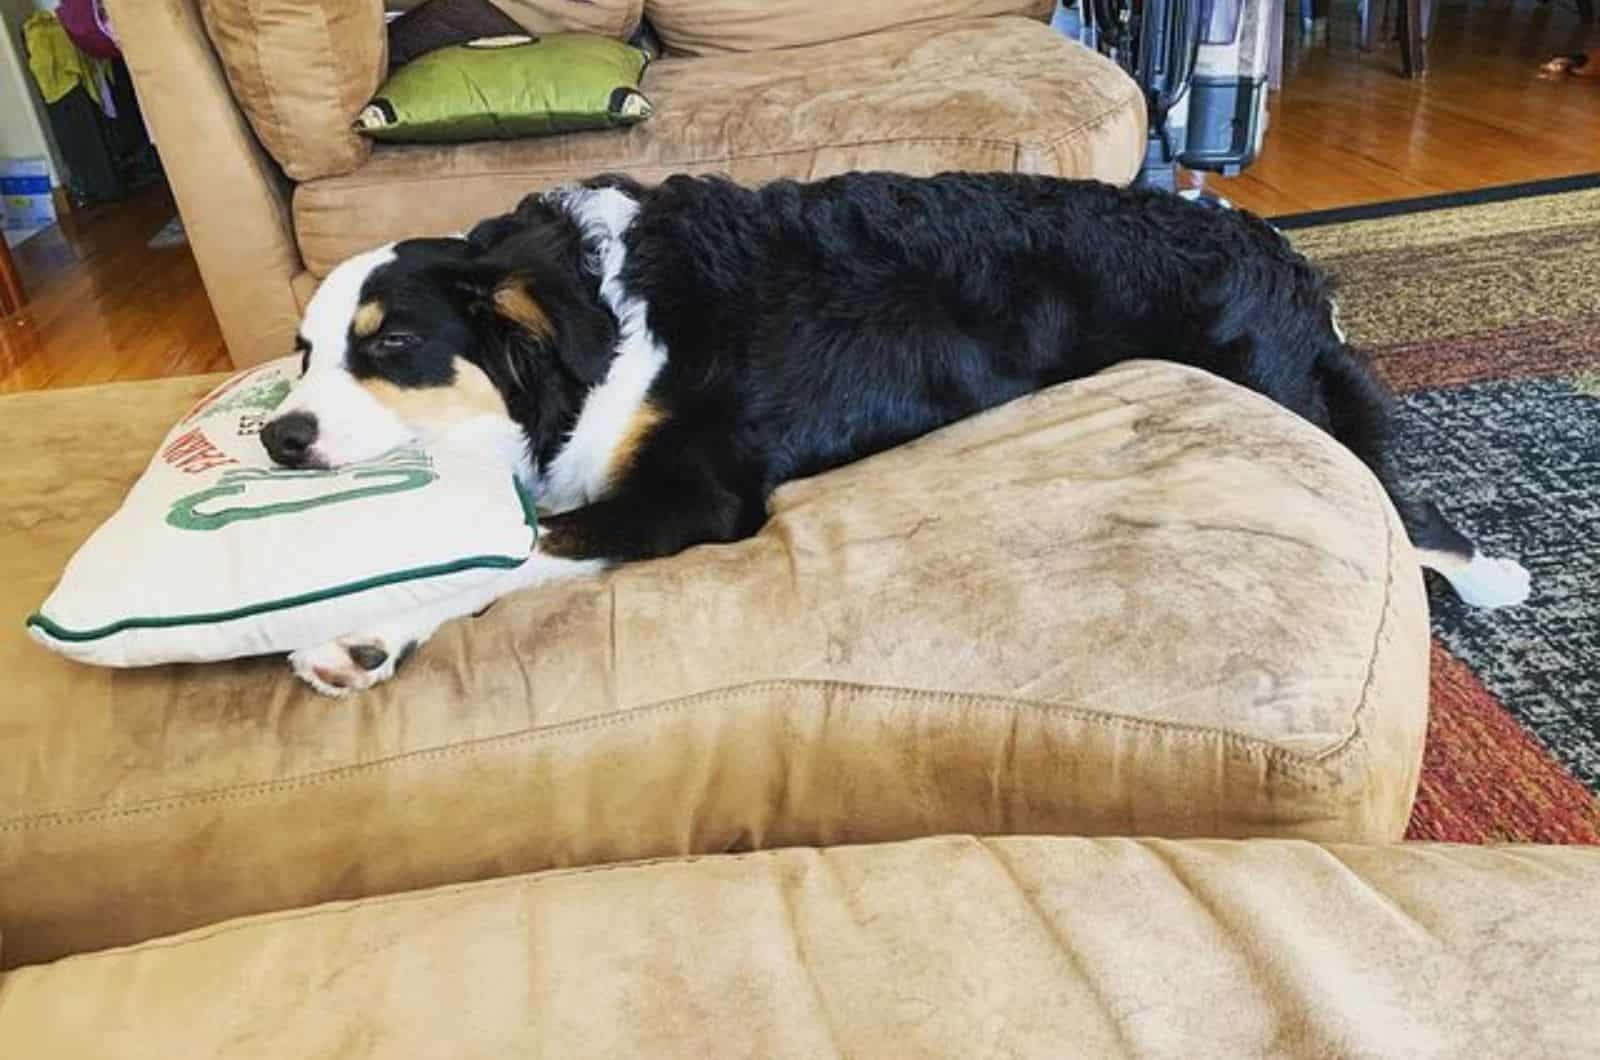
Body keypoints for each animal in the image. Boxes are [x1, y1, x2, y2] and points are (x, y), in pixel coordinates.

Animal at [268, 174, 1529, 698]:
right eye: (302, 350)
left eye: (390, 345)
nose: (279, 435)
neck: (587, 322)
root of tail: (1270, 240)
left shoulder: (689, 496)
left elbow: (520, 552)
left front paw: (364, 628)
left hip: (1284, 394)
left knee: (1407, 505)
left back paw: (1498, 577)